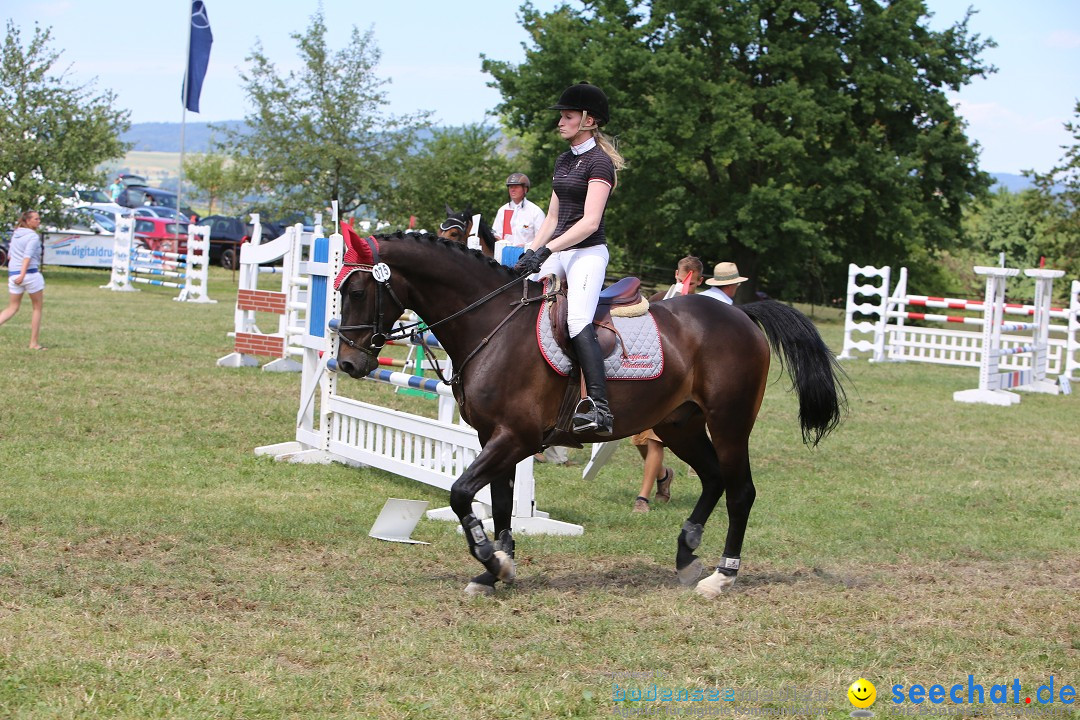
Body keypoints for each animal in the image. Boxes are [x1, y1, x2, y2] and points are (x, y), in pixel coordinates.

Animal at [332, 229, 846, 595]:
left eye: (356, 291)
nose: (349, 364)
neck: (492, 322)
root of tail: (741, 313)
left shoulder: (515, 437)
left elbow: (461, 494)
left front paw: (491, 560)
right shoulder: (492, 437)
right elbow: (499, 501)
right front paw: (496, 572)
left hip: (729, 424)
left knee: (741, 491)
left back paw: (722, 576)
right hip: (679, 424)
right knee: (715, 478)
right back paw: (687, 556)